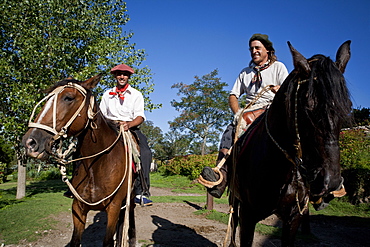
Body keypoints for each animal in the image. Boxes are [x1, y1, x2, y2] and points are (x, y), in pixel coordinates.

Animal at [22, 75, 136, 247]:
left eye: (68, 98)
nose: (30, 142)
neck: (97, 166)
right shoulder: (78, 208)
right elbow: (75, 240)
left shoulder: (114, 207)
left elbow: (108, 240)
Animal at [228, 41, 352, 247]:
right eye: (308, 105)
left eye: (347, 106)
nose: (331, 182)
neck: (278, 169)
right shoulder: (248, 215)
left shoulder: (294, 217)